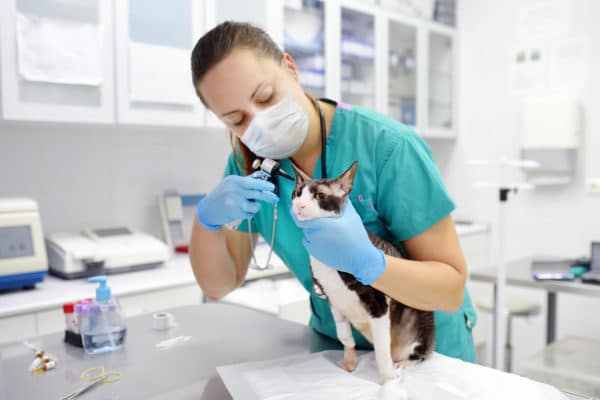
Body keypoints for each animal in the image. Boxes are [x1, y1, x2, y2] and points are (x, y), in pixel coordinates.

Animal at [290, 160, 434, 384]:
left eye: (320, 196)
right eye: (298, 193)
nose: (299, 205)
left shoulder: (378, 302)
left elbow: (382, 348)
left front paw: (387, 380)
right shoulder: (333, 299)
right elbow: (343, 334)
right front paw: (350, 359)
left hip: (418, 320)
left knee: (420, 353)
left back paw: (403, 363)